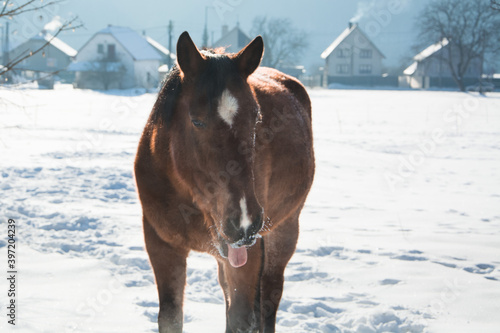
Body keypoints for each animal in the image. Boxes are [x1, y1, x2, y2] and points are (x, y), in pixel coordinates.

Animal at [135, 31, 314, 332]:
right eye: (197, 121)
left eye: (256, 118)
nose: (244, 223)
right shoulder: (162, 247)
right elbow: (171, 318)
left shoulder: (246, 259)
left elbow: (241, 317)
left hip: (283, 232)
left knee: (269, 298)